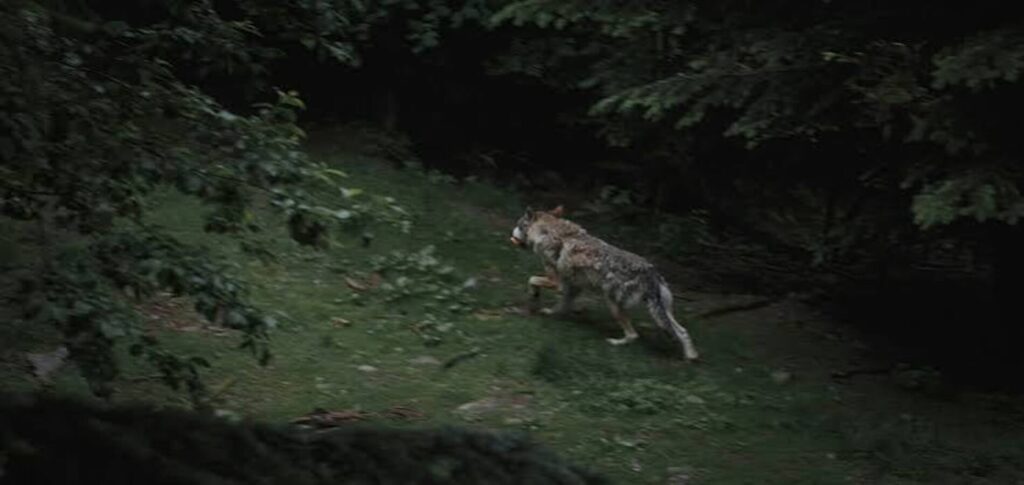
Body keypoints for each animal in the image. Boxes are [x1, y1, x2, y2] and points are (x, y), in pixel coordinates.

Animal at [510, 205, 699, 361]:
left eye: (518, 224)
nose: (511, 234)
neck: (551, 233)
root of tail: (651, 273)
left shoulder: (556, 282)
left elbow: (532, 279)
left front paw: (535, 295)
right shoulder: (573, 287)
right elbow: (562, 305)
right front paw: (550, 313)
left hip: (613, 304)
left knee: (633, 335)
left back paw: (615, 343)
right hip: (662, 312)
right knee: (683, 331)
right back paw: (690, 357)